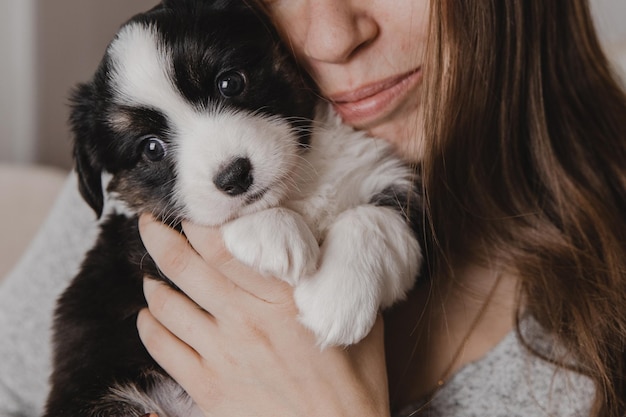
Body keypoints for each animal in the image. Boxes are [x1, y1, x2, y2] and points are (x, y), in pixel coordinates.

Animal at [44, 1, 422, 414]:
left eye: (229, 83)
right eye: (151, 148)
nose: (234, 176)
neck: (297, 189)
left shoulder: (379, 176)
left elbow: (374, 218)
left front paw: (338, 298)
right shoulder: (139, 242)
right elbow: (191, 218)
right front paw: (272, 232)